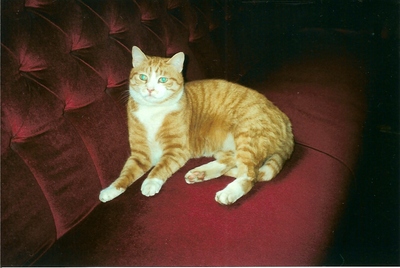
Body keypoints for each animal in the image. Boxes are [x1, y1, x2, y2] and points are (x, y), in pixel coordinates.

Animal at [100, 46, 294, 205]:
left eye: (162, 79)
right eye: (143, 77)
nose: (150, 89)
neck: (153, 112)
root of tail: (285, 119)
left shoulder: (176, 150)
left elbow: (160, 168)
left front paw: (150, 182)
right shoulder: (141, 155)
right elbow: (126, 173)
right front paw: (111, 190)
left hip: (247, 136)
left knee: (249, 175)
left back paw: (229, 192)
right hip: (228, 146)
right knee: (231, 161)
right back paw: (200, 173)